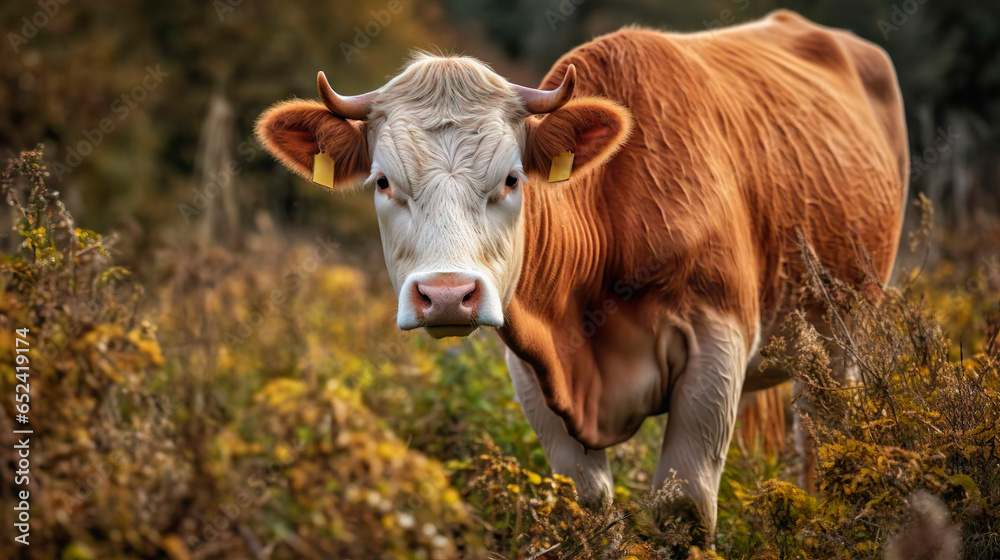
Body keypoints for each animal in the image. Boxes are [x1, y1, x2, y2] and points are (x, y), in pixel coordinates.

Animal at [256, 9, 908, 544]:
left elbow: (684, 511)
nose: (446, 296)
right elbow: (591, 507)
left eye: (513, 178)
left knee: (827, 432)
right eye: (384, 181)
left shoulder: (717, 345)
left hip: (845, 333)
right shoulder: (532, 368)